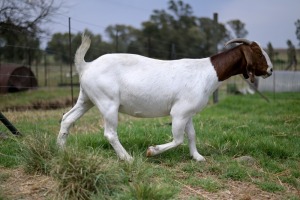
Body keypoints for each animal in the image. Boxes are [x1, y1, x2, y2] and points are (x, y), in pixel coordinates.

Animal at [57, 35, 274, 162]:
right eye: (258, 53)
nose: (271, 70)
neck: (206, 72)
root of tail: (86, 65)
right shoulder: (179, 112)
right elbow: (178, 139)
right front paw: (152, 150)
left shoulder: (188, 113)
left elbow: (192, 135)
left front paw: (197, 157)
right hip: (107, 102)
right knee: (110, 133)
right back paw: (127, 158)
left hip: (86, 99)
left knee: (67, 119)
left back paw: (60, 149)